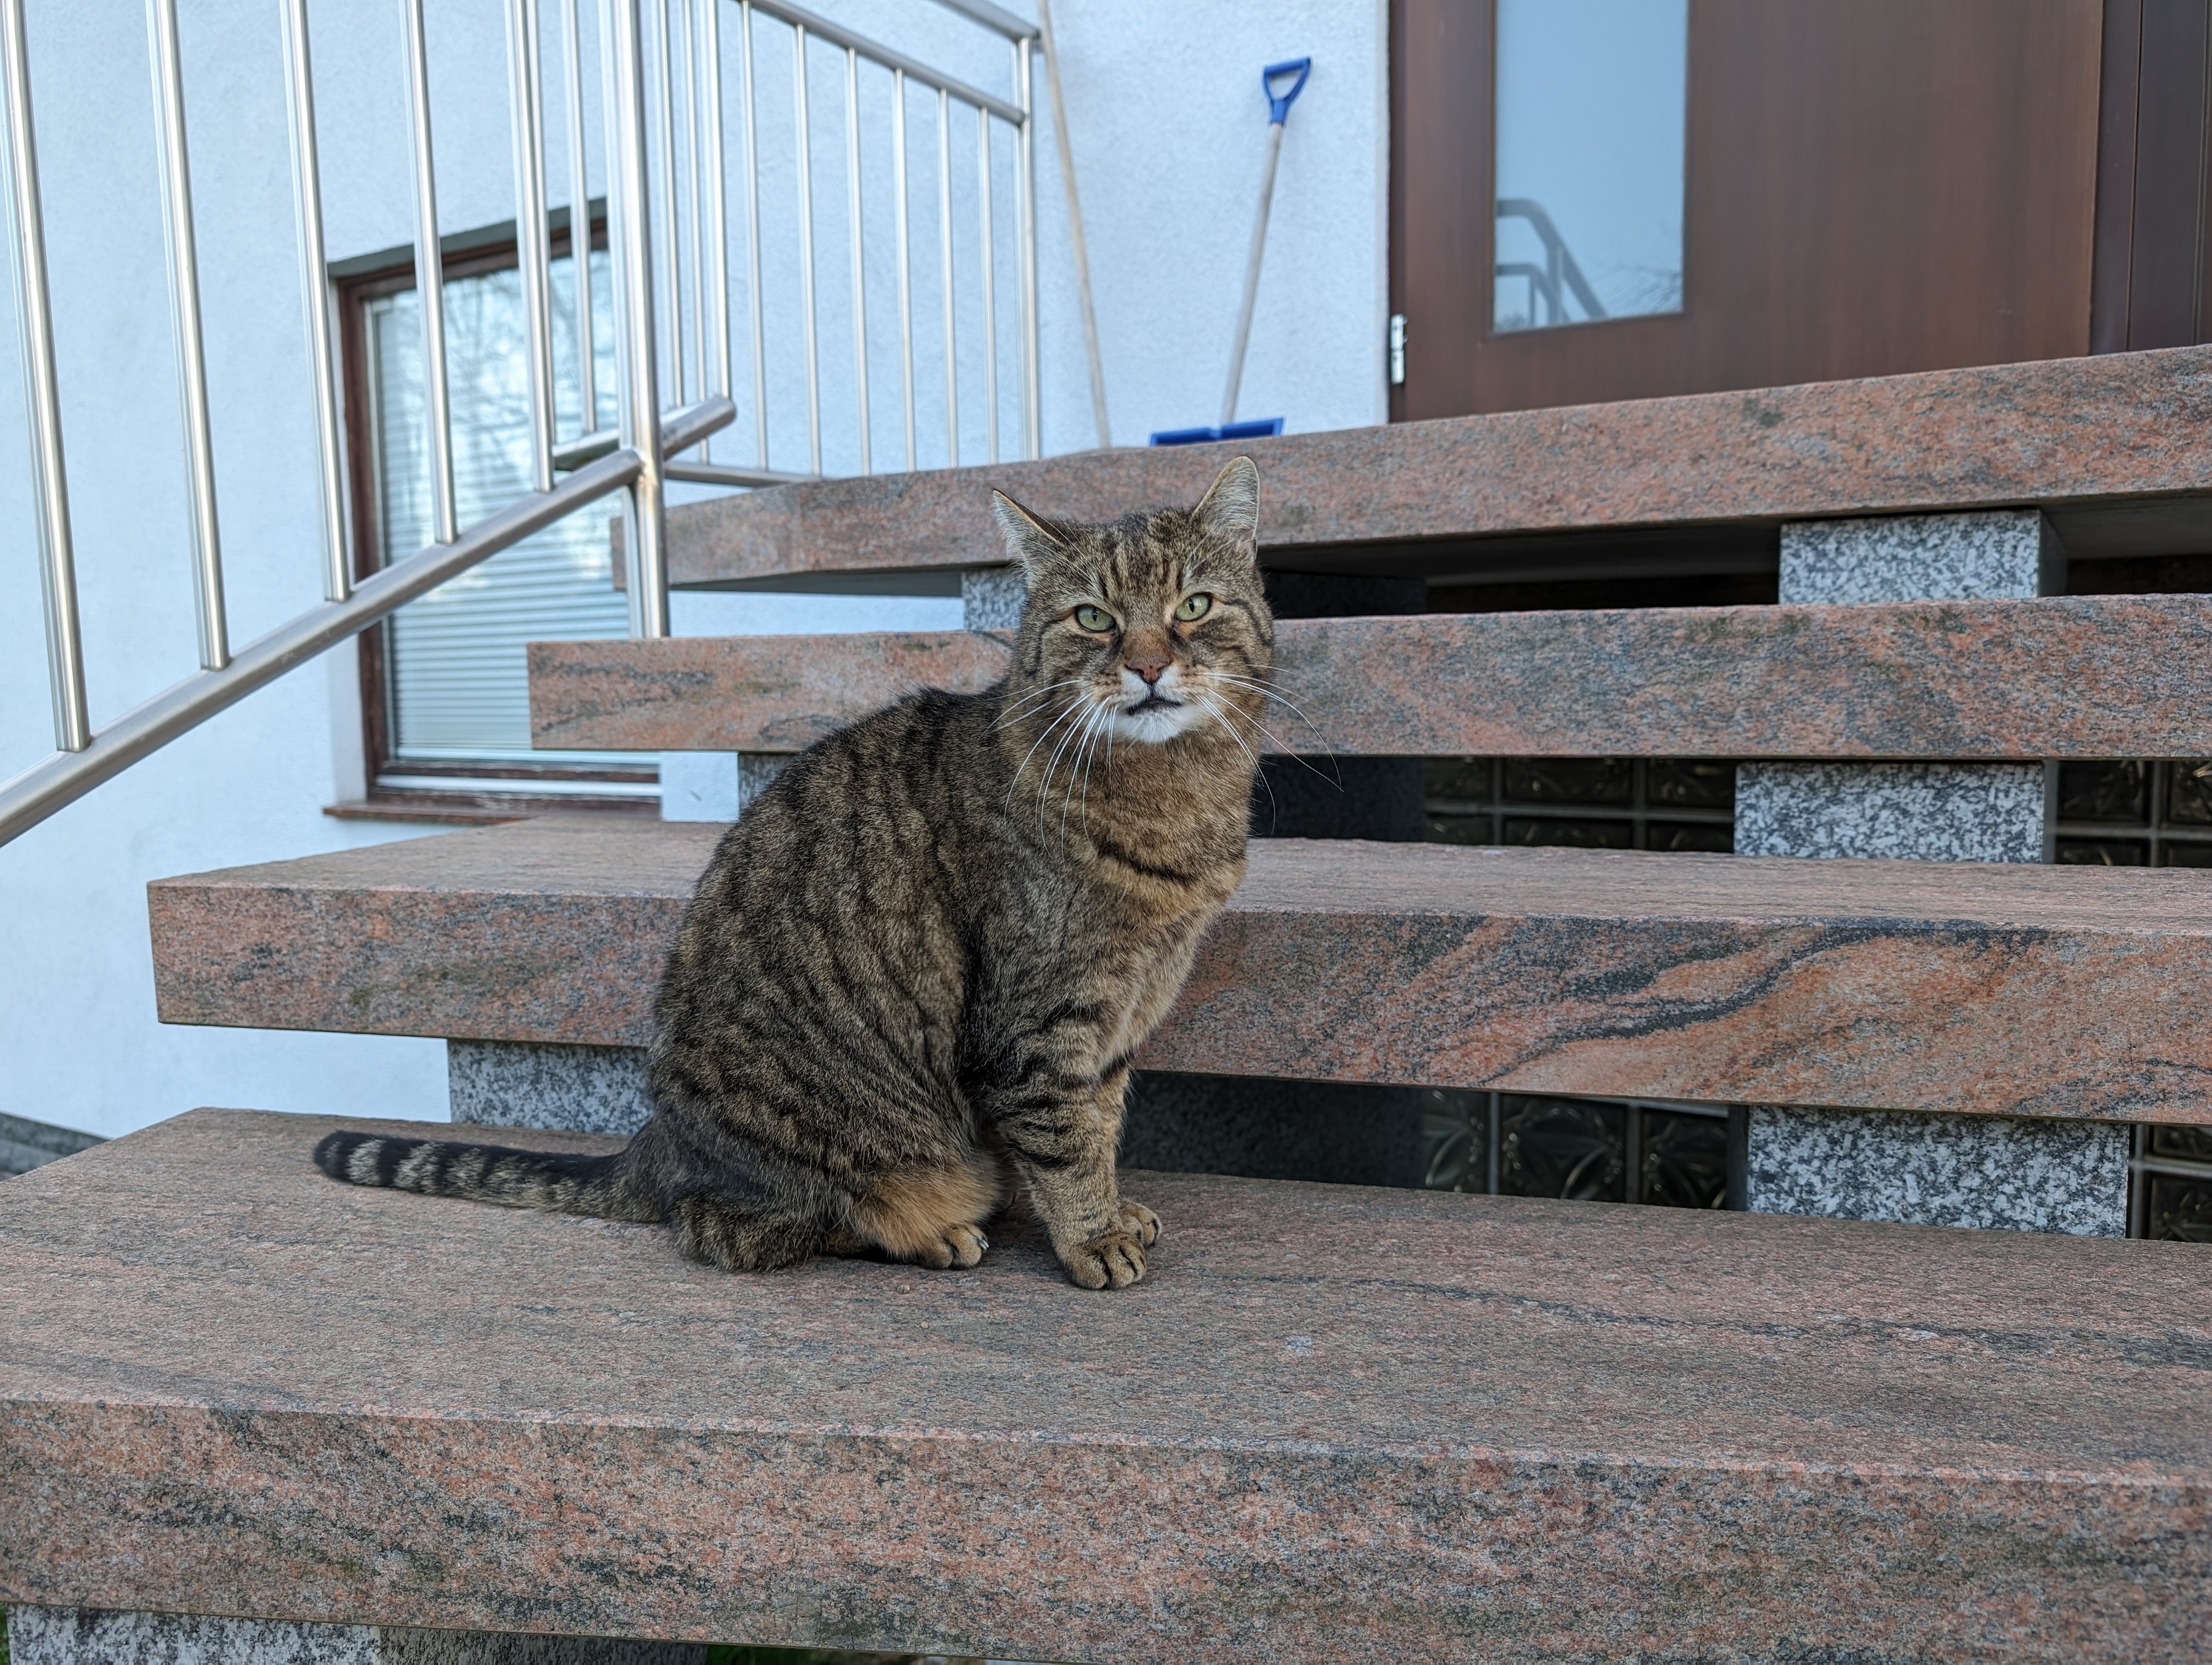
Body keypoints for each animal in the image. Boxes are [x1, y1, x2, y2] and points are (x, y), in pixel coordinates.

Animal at [318, 451, 1274, 1282]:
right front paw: (1091, 1237)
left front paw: (1115, 1209)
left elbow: (1100, 1123)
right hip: (832, 1156)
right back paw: (931, 1231)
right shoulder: (1039, 1021)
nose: (1147, 664)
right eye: (1093, 619)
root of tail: (655, 1144)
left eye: (1193, 604)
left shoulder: (1119, 1017)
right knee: (739, 1227)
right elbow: (1065, 1141)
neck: (1175, 798)